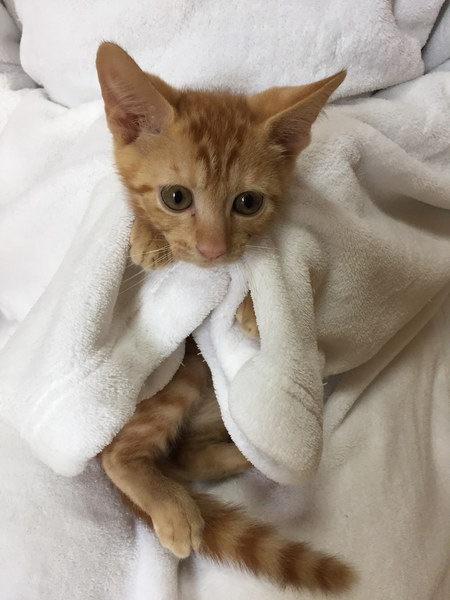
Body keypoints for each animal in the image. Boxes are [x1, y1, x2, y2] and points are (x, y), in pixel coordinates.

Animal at [96, 42, 354, 593]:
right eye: (176, 197)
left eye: (248, 202)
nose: (214, 251)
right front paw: (146, 237)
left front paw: (256, 305)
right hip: (177, 375)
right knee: (119, 453)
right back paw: (175, 508)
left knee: (186, 455)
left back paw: (252, 455)